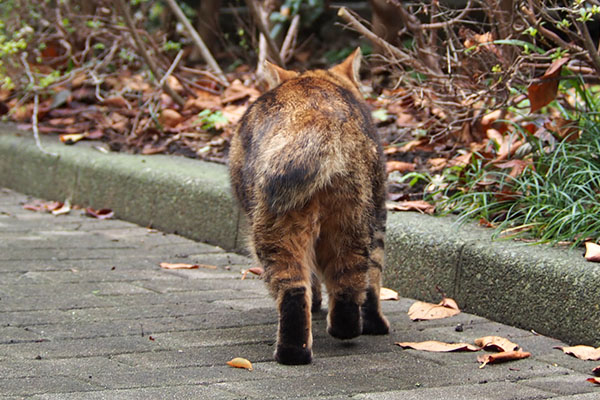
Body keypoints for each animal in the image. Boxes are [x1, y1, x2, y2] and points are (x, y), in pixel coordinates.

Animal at [229, 48, 390, 364]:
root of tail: (316, 114)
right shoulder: (379, 217)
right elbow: (373, 280)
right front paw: (375, 324)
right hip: (352, 221)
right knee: (346, 284)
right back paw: (342, 331)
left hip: (277, 229)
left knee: (295, 290)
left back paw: (295, 352)